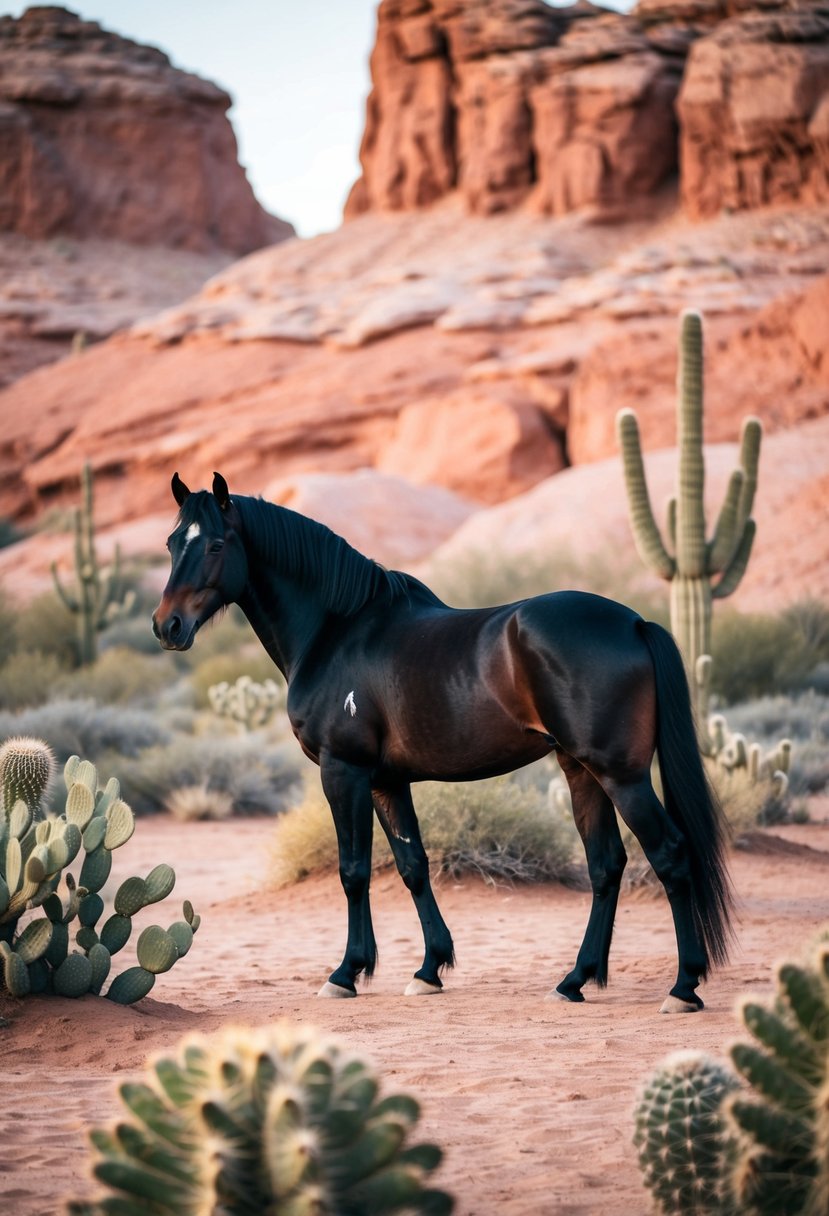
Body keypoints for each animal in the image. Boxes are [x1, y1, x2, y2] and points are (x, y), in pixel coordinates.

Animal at [153, 469, 729, 1011]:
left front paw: (346, 974)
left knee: (670, 856)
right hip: (580, 770)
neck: (336, 631)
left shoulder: (343, 771)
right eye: (172, 541)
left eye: (216, 544)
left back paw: (683, 987)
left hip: (621, 775)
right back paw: (574, 981)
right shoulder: (386, 782)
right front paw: (429, 969)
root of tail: (634, 622)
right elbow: (412, 866)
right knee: (606, 866)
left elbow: (353, 871)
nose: (167, 626)